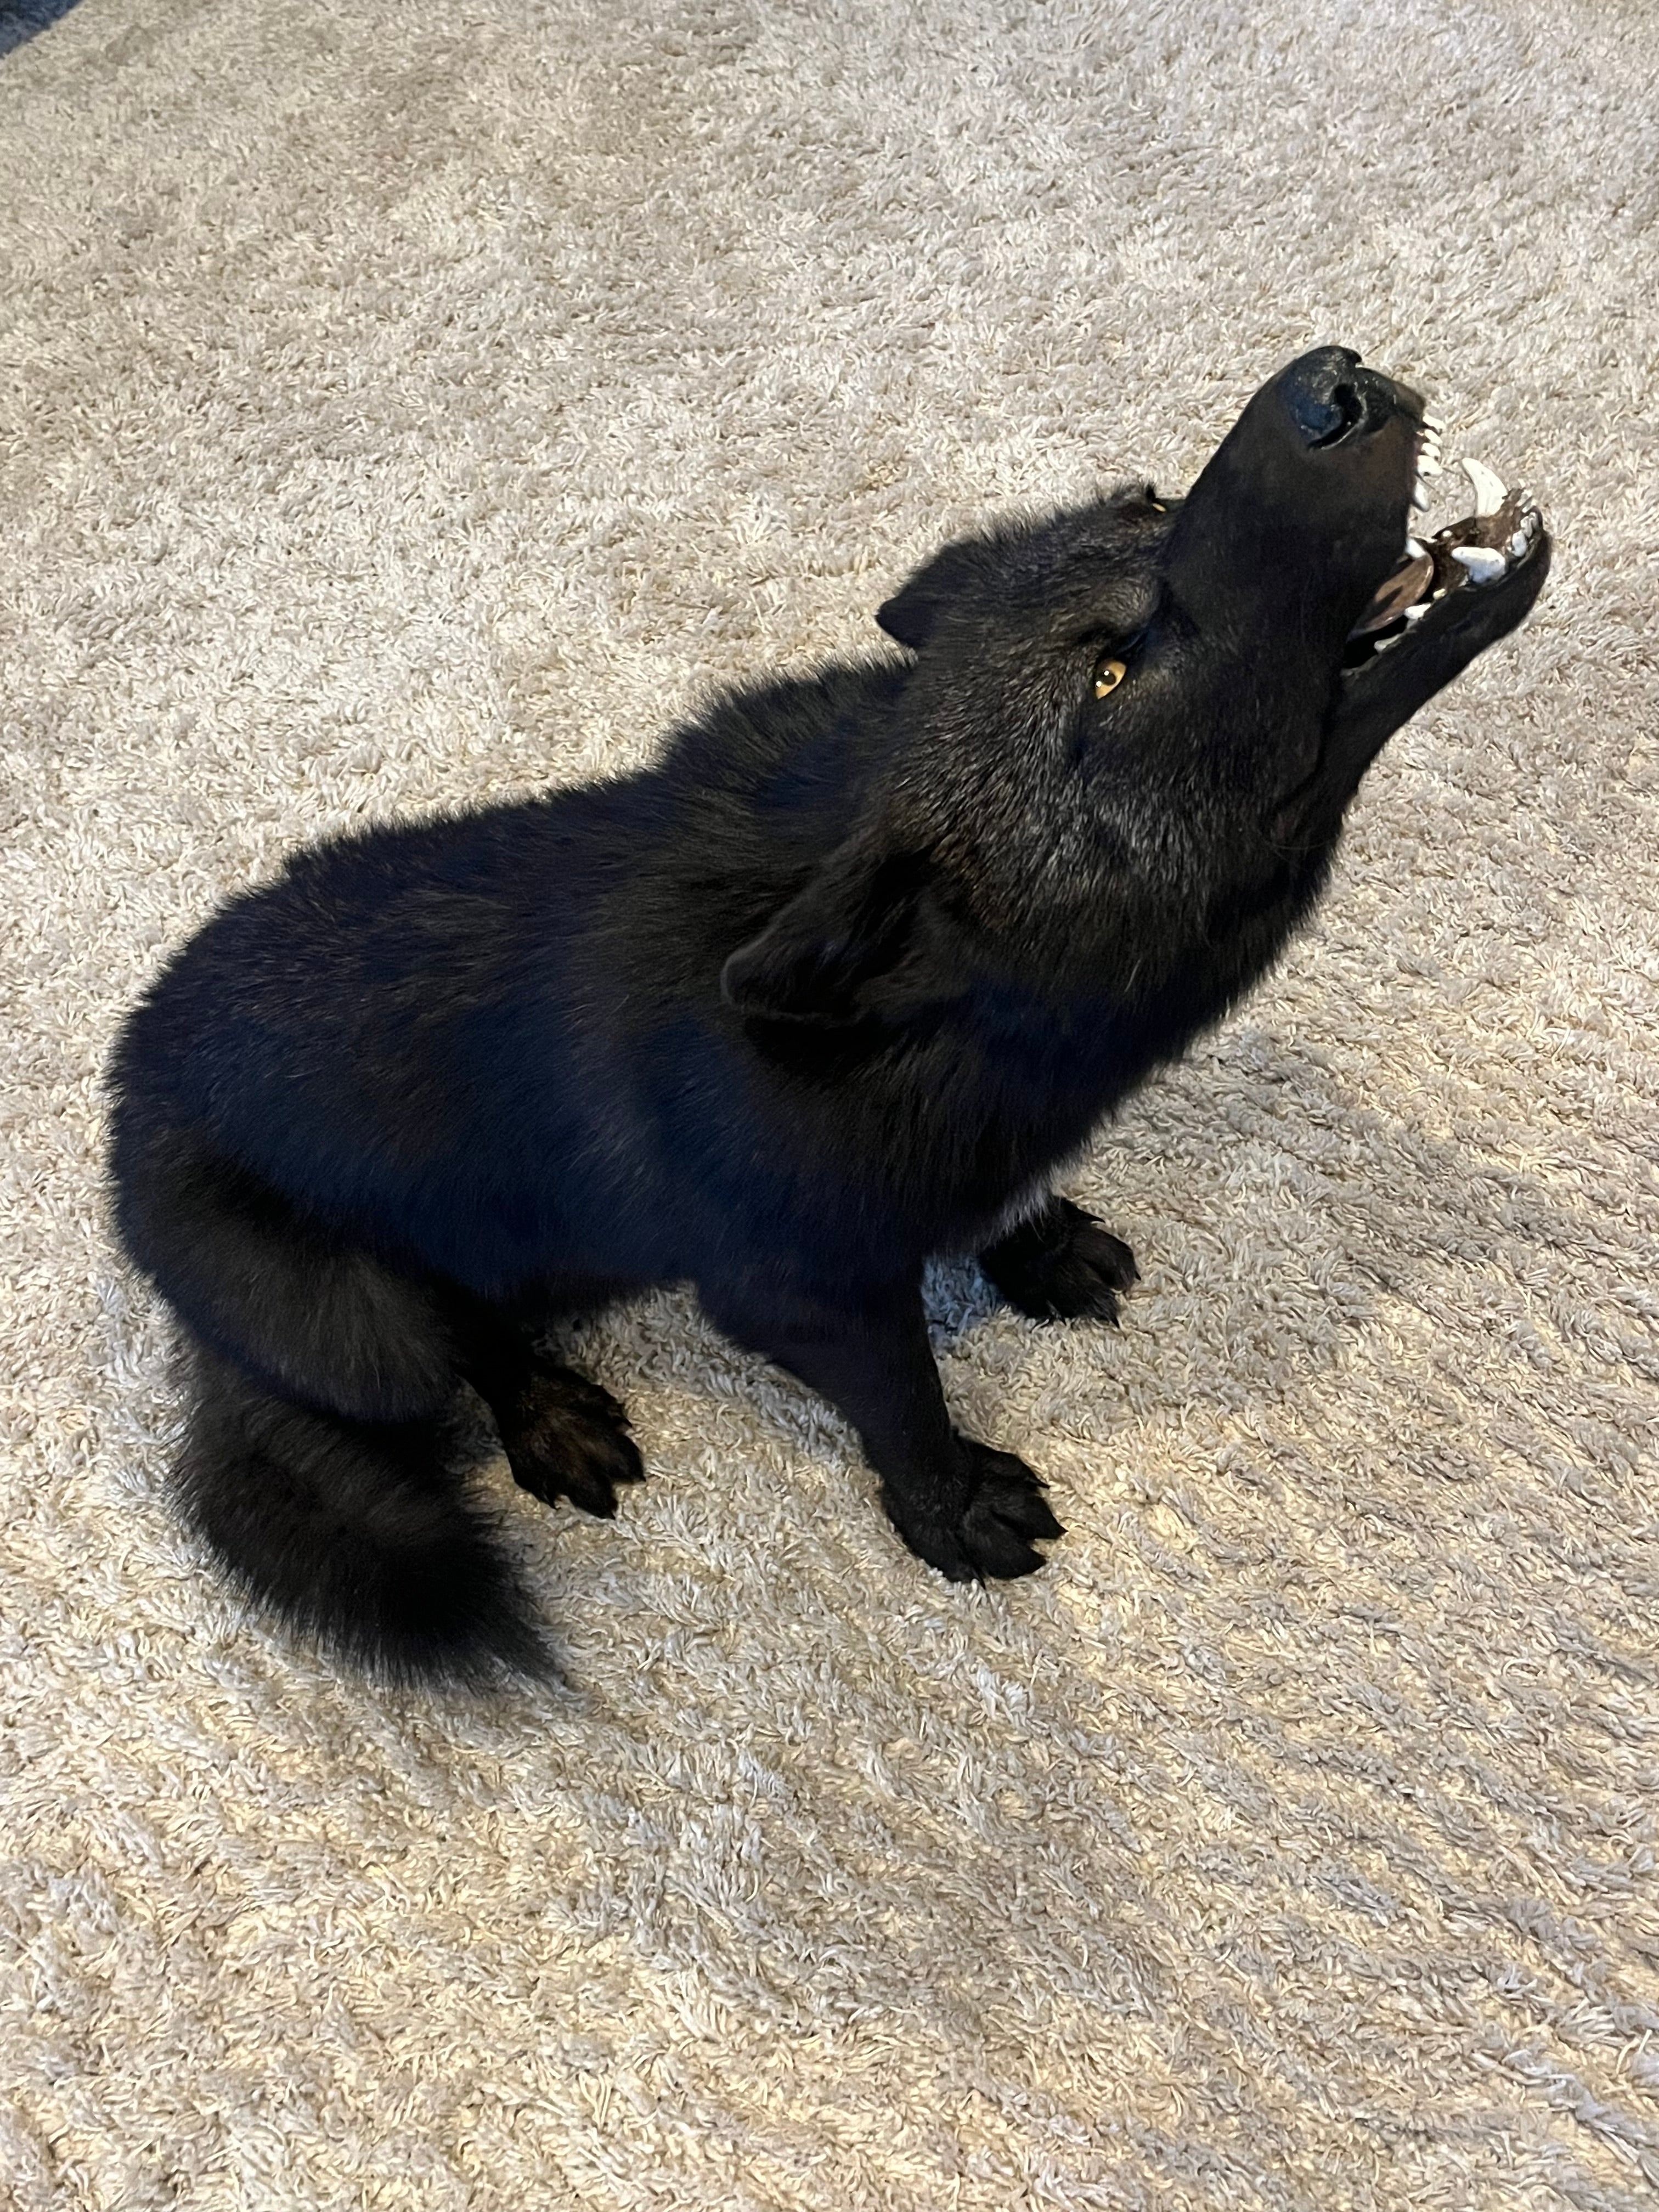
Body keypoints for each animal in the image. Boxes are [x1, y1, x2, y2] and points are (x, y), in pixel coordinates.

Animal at [108, 347, 1550, 1683]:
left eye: (1149, 504)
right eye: (1111, 675)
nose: (1330, 384)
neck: (947, 1024)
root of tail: (125, 1111)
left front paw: (1034, 1245)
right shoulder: (799, 1300)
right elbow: (906, 1404)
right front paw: (950, 1512)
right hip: (364, 1324)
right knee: (467, 1342)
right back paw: (548, 1413)